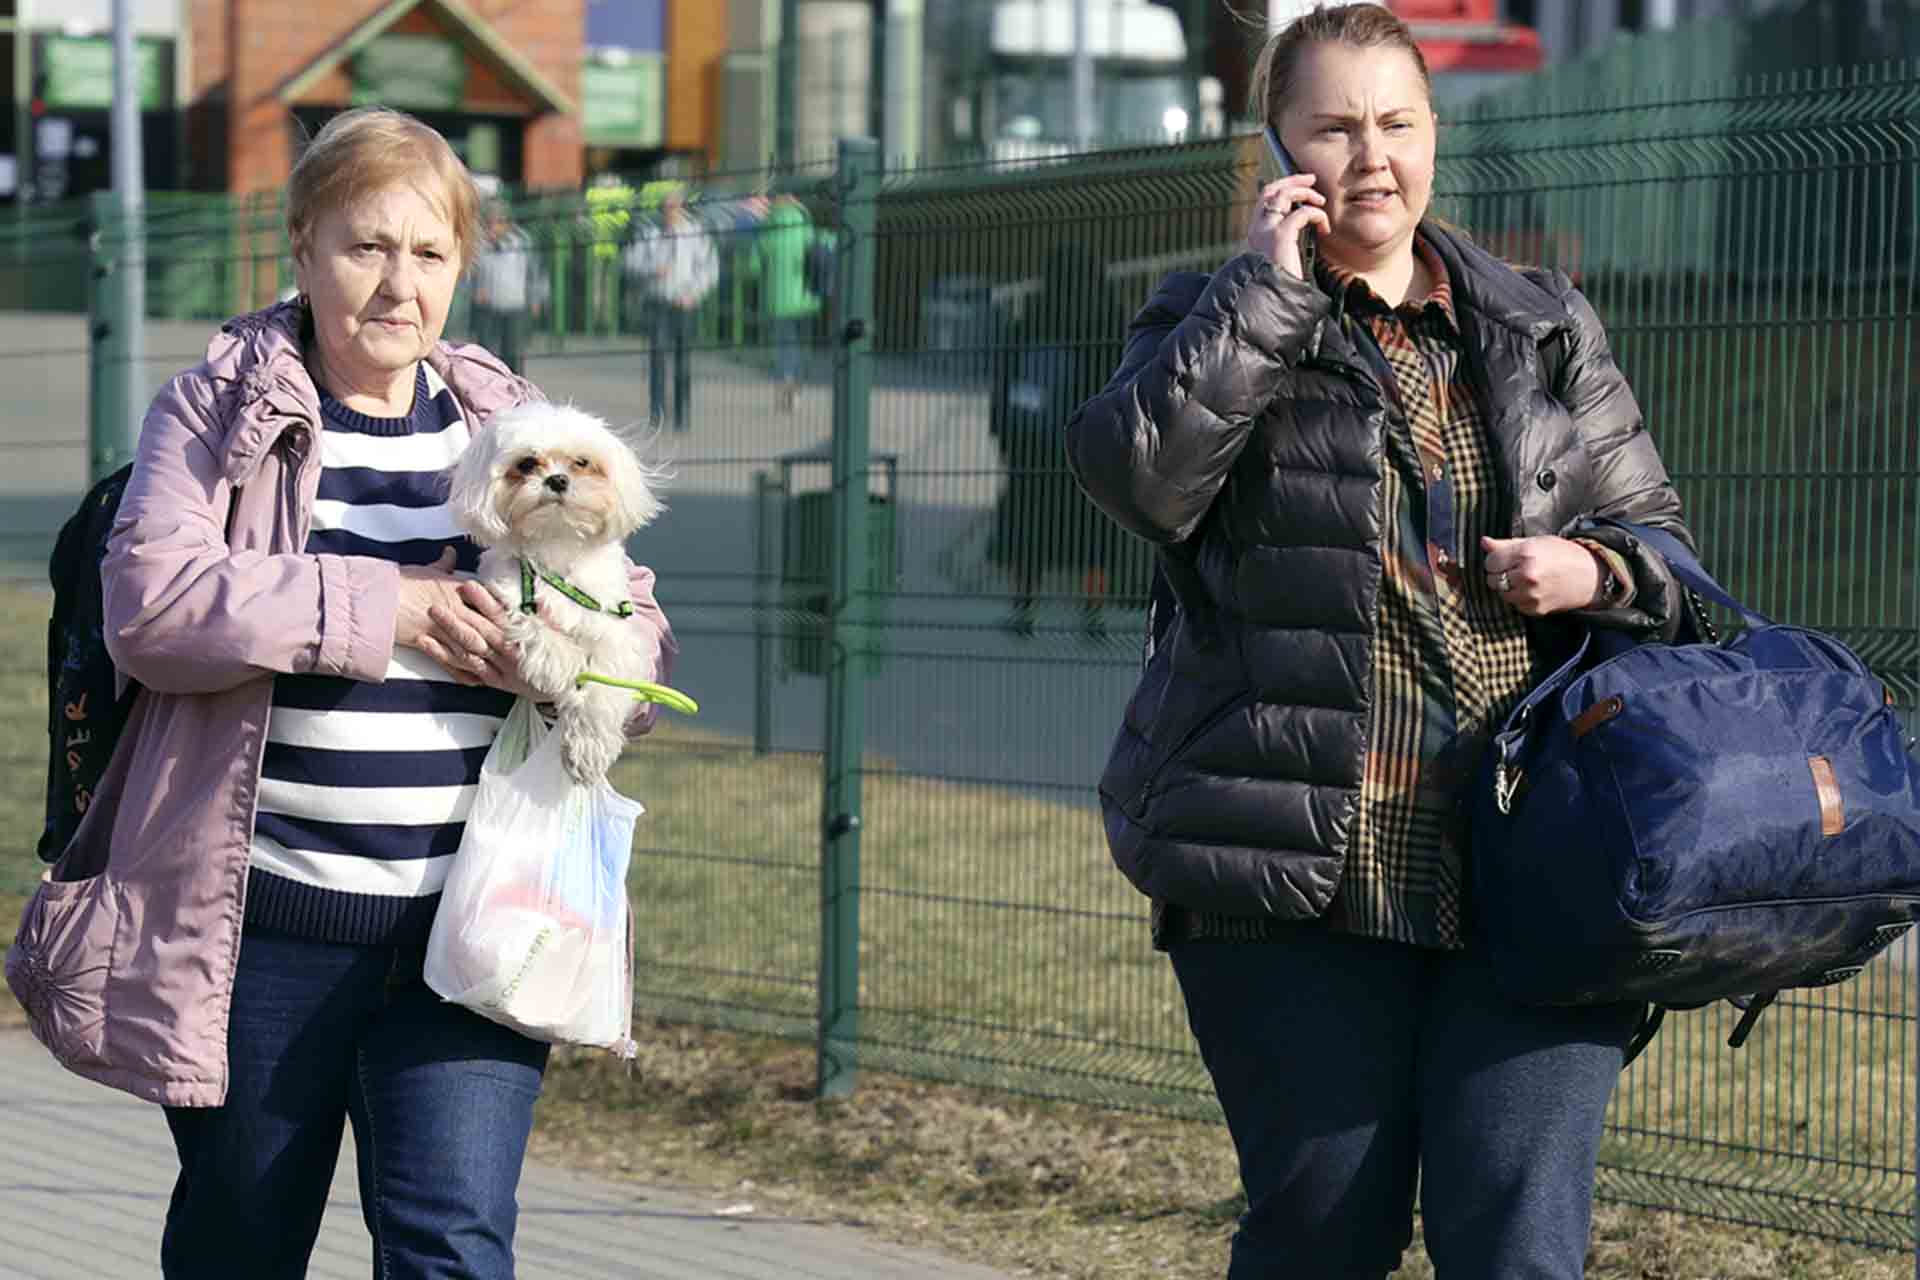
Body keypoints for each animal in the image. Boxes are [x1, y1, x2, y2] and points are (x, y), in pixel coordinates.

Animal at [449, 402, 668, 782]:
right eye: (526, 464)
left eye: (582, 462)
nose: (557, 479)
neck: (557, 548)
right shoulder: (504, 592)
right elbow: (532, 624)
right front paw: (560, 661)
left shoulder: (616, 630)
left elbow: (606, 682)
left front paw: (589, 747)